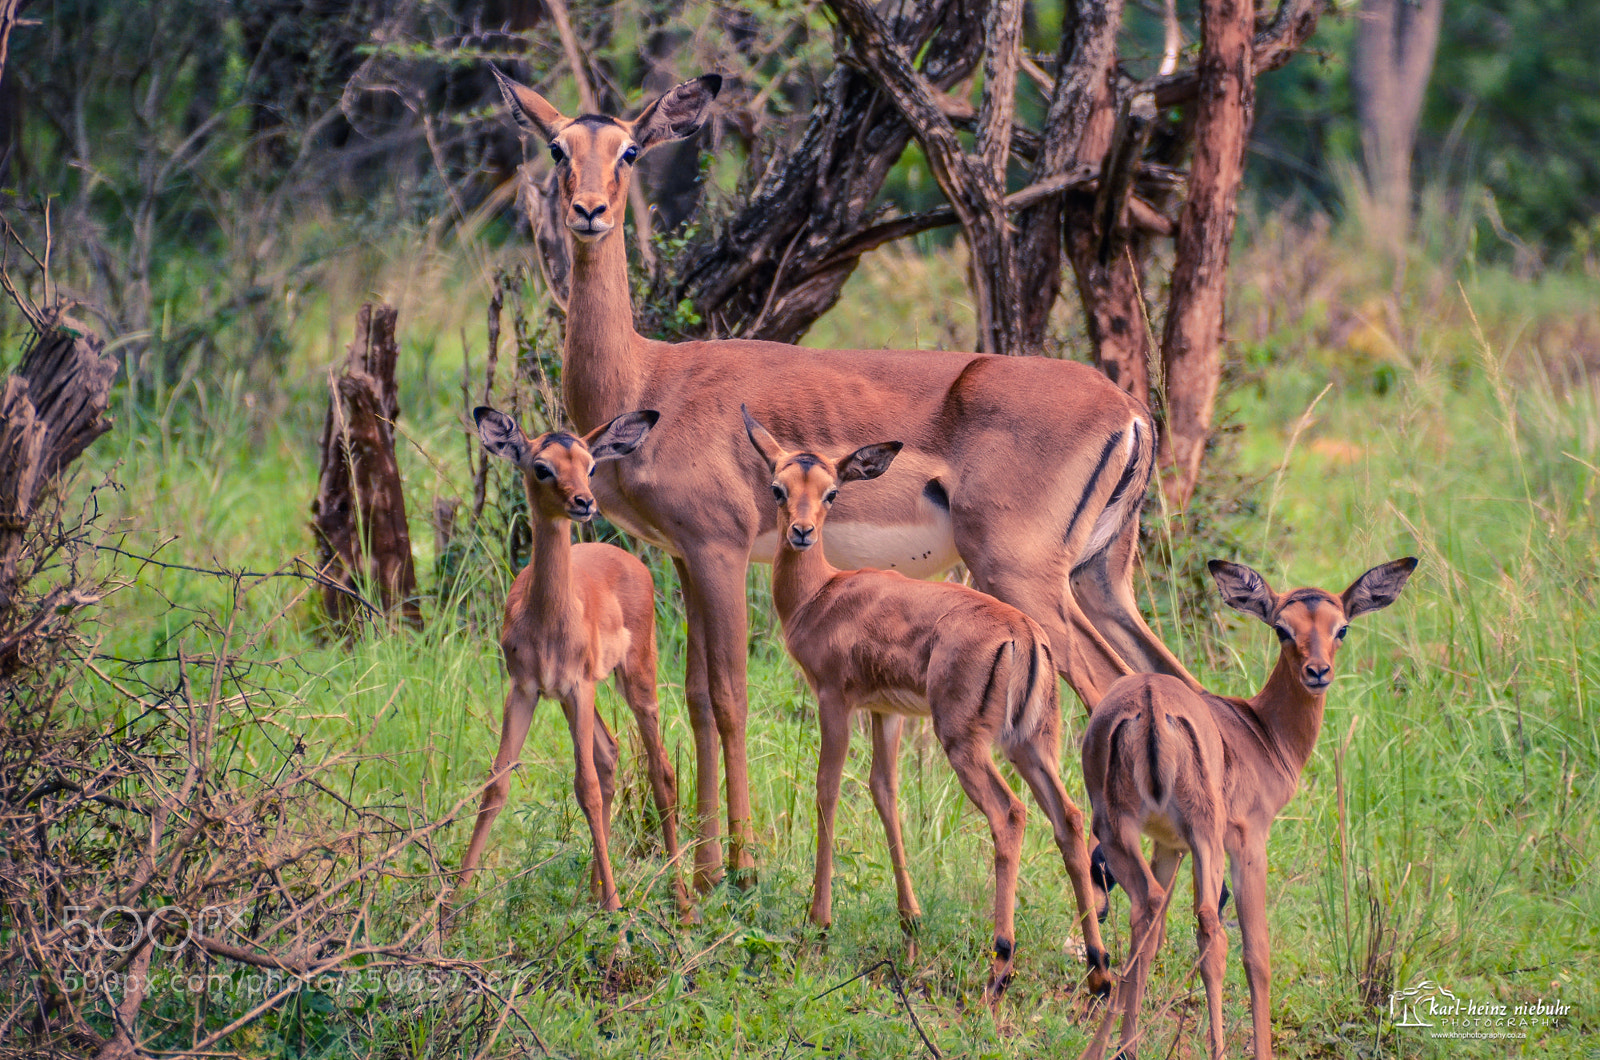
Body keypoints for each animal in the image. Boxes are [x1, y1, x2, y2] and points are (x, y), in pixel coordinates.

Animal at [458, 406, 691, 920]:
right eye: (541, 467)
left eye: (590, 465)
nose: (585, 502)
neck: (547, 620)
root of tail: (630, 560)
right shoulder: (526, 690)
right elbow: (496, 784)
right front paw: (452, 902)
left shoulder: (578, 687)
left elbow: (583, 785)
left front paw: (617, 906)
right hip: (574, 698)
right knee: (609, 755)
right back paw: (593, 891)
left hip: (634, 681)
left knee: (659, 770)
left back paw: (681, 900)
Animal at [491, 68, 1197, 891]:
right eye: (557, 146)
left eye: (630, 150)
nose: (589, 212)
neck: (650, 378)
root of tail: (1131, 412)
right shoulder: (685, 558)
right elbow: (695, 699)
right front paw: (701, 869)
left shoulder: (719, 550)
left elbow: (729, 699)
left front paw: (740, 869)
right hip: (1100, 579)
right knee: (1169, 680)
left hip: (1024, 577)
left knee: (1106, 687)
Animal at [743, 408, 1113, 1006]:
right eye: (778, 487)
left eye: (830, 492)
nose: (801, 532)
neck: (821, 596)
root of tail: (1025, 635)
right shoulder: (886, 712)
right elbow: (884, 793)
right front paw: (910, 918)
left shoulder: (834, 699)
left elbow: (827, 791)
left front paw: (819, 920)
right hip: (1031, 744)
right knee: (1070, 818)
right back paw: (1099, 970)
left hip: (966, 745)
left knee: (1011, 815)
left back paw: (1001, 965)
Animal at [1081, 557, 1418, 1059]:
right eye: (1282, 628)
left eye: (1341, 628)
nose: (1318, 672)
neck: (1261, 732)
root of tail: (1150, 702)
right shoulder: (1247, 842)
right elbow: (1257, 953)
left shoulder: (1168, 846)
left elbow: (1155, 938)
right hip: (1203, 836)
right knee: (1210, 931)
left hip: (1118, 830)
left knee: (1148, 909)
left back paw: (1111, 1048)